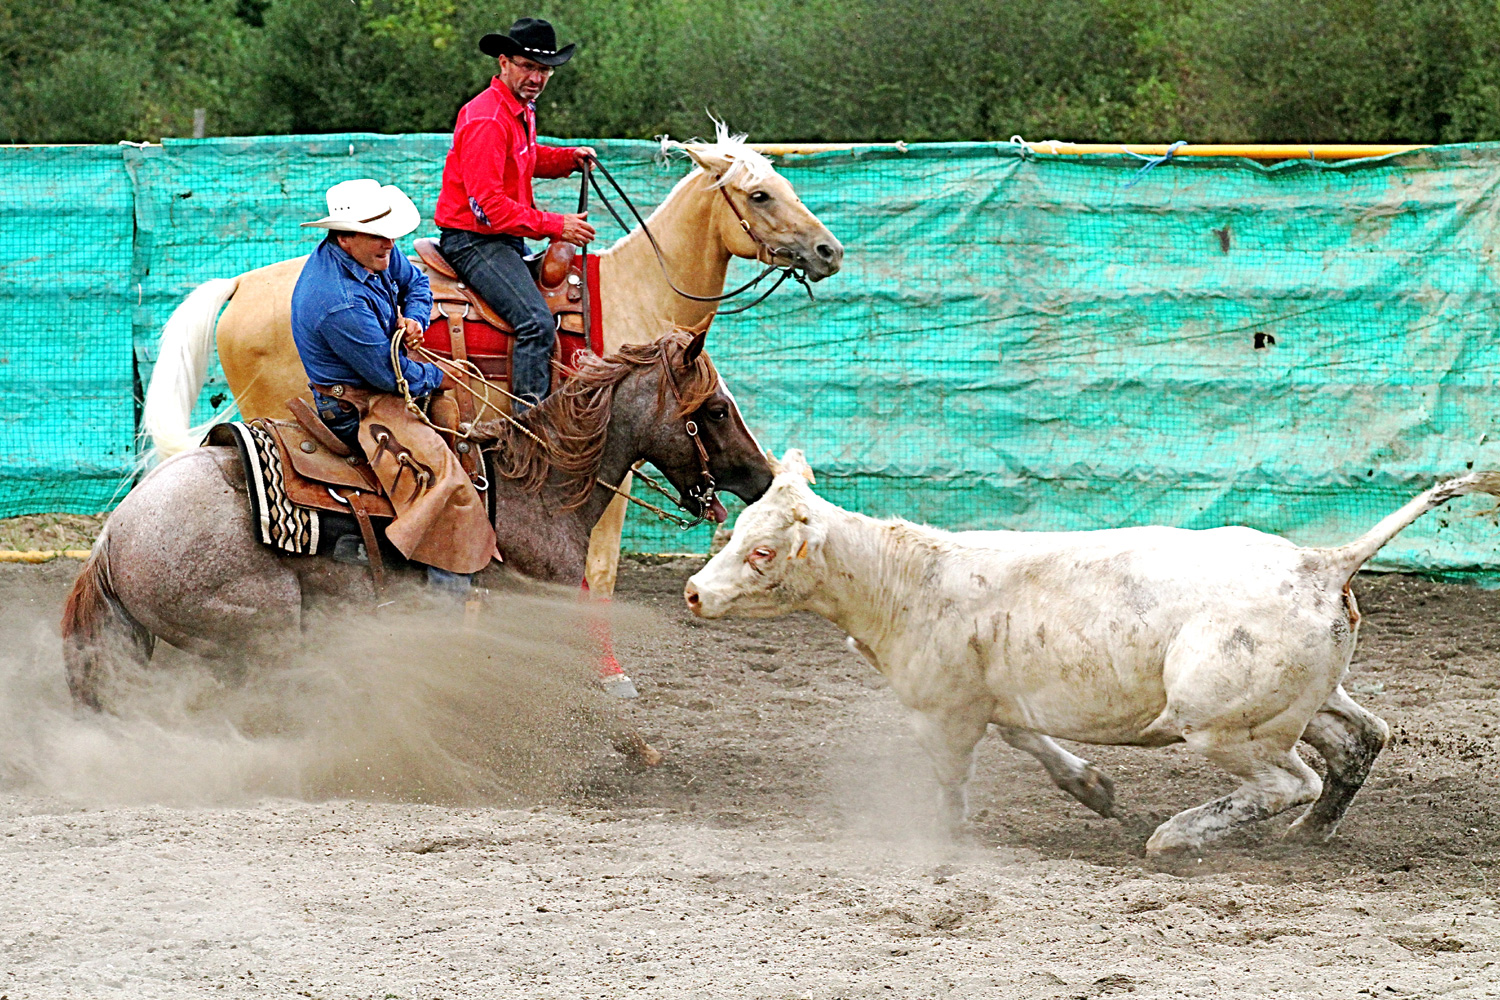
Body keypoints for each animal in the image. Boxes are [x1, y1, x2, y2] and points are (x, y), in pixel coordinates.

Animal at [61, 332, 774, 716]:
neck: (536, 489)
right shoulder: (537, 601)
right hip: (260, 629)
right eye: (714, 409)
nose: (762, 477)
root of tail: (112, 539)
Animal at [139, 128, 840, 602]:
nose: (829, 251)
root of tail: (237, 284)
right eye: (760, 194)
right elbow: (601, 571)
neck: (633, 292)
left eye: (788, 186)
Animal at [687, 452, 1500, 851]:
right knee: (1361, 741)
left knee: (1287, 780)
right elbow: (1027, 738)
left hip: (1220, 720)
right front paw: (1094, 788)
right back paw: (1307, 836)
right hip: (1300, 699)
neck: (908, 578)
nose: (694, 592)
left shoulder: (942, 711)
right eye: (733, 532)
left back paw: (1177, 838)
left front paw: (944, 838)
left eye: (762, 552)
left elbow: (952, 779)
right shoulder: (997, 697)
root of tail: (1323, 563)